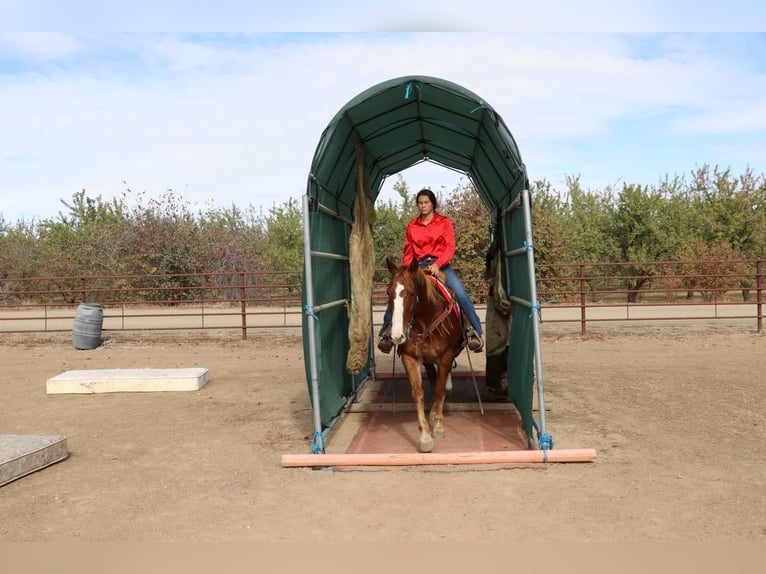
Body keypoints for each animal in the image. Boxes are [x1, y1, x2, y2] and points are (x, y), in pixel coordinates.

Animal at [384, 257, 465, 453]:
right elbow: (419, 393)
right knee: (433, 378)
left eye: (412, 294)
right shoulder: (410, 358)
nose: (397, 336)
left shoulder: (446, 356)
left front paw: (438, 427)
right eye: (388, 293)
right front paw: (425, 437)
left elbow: (440, 390)